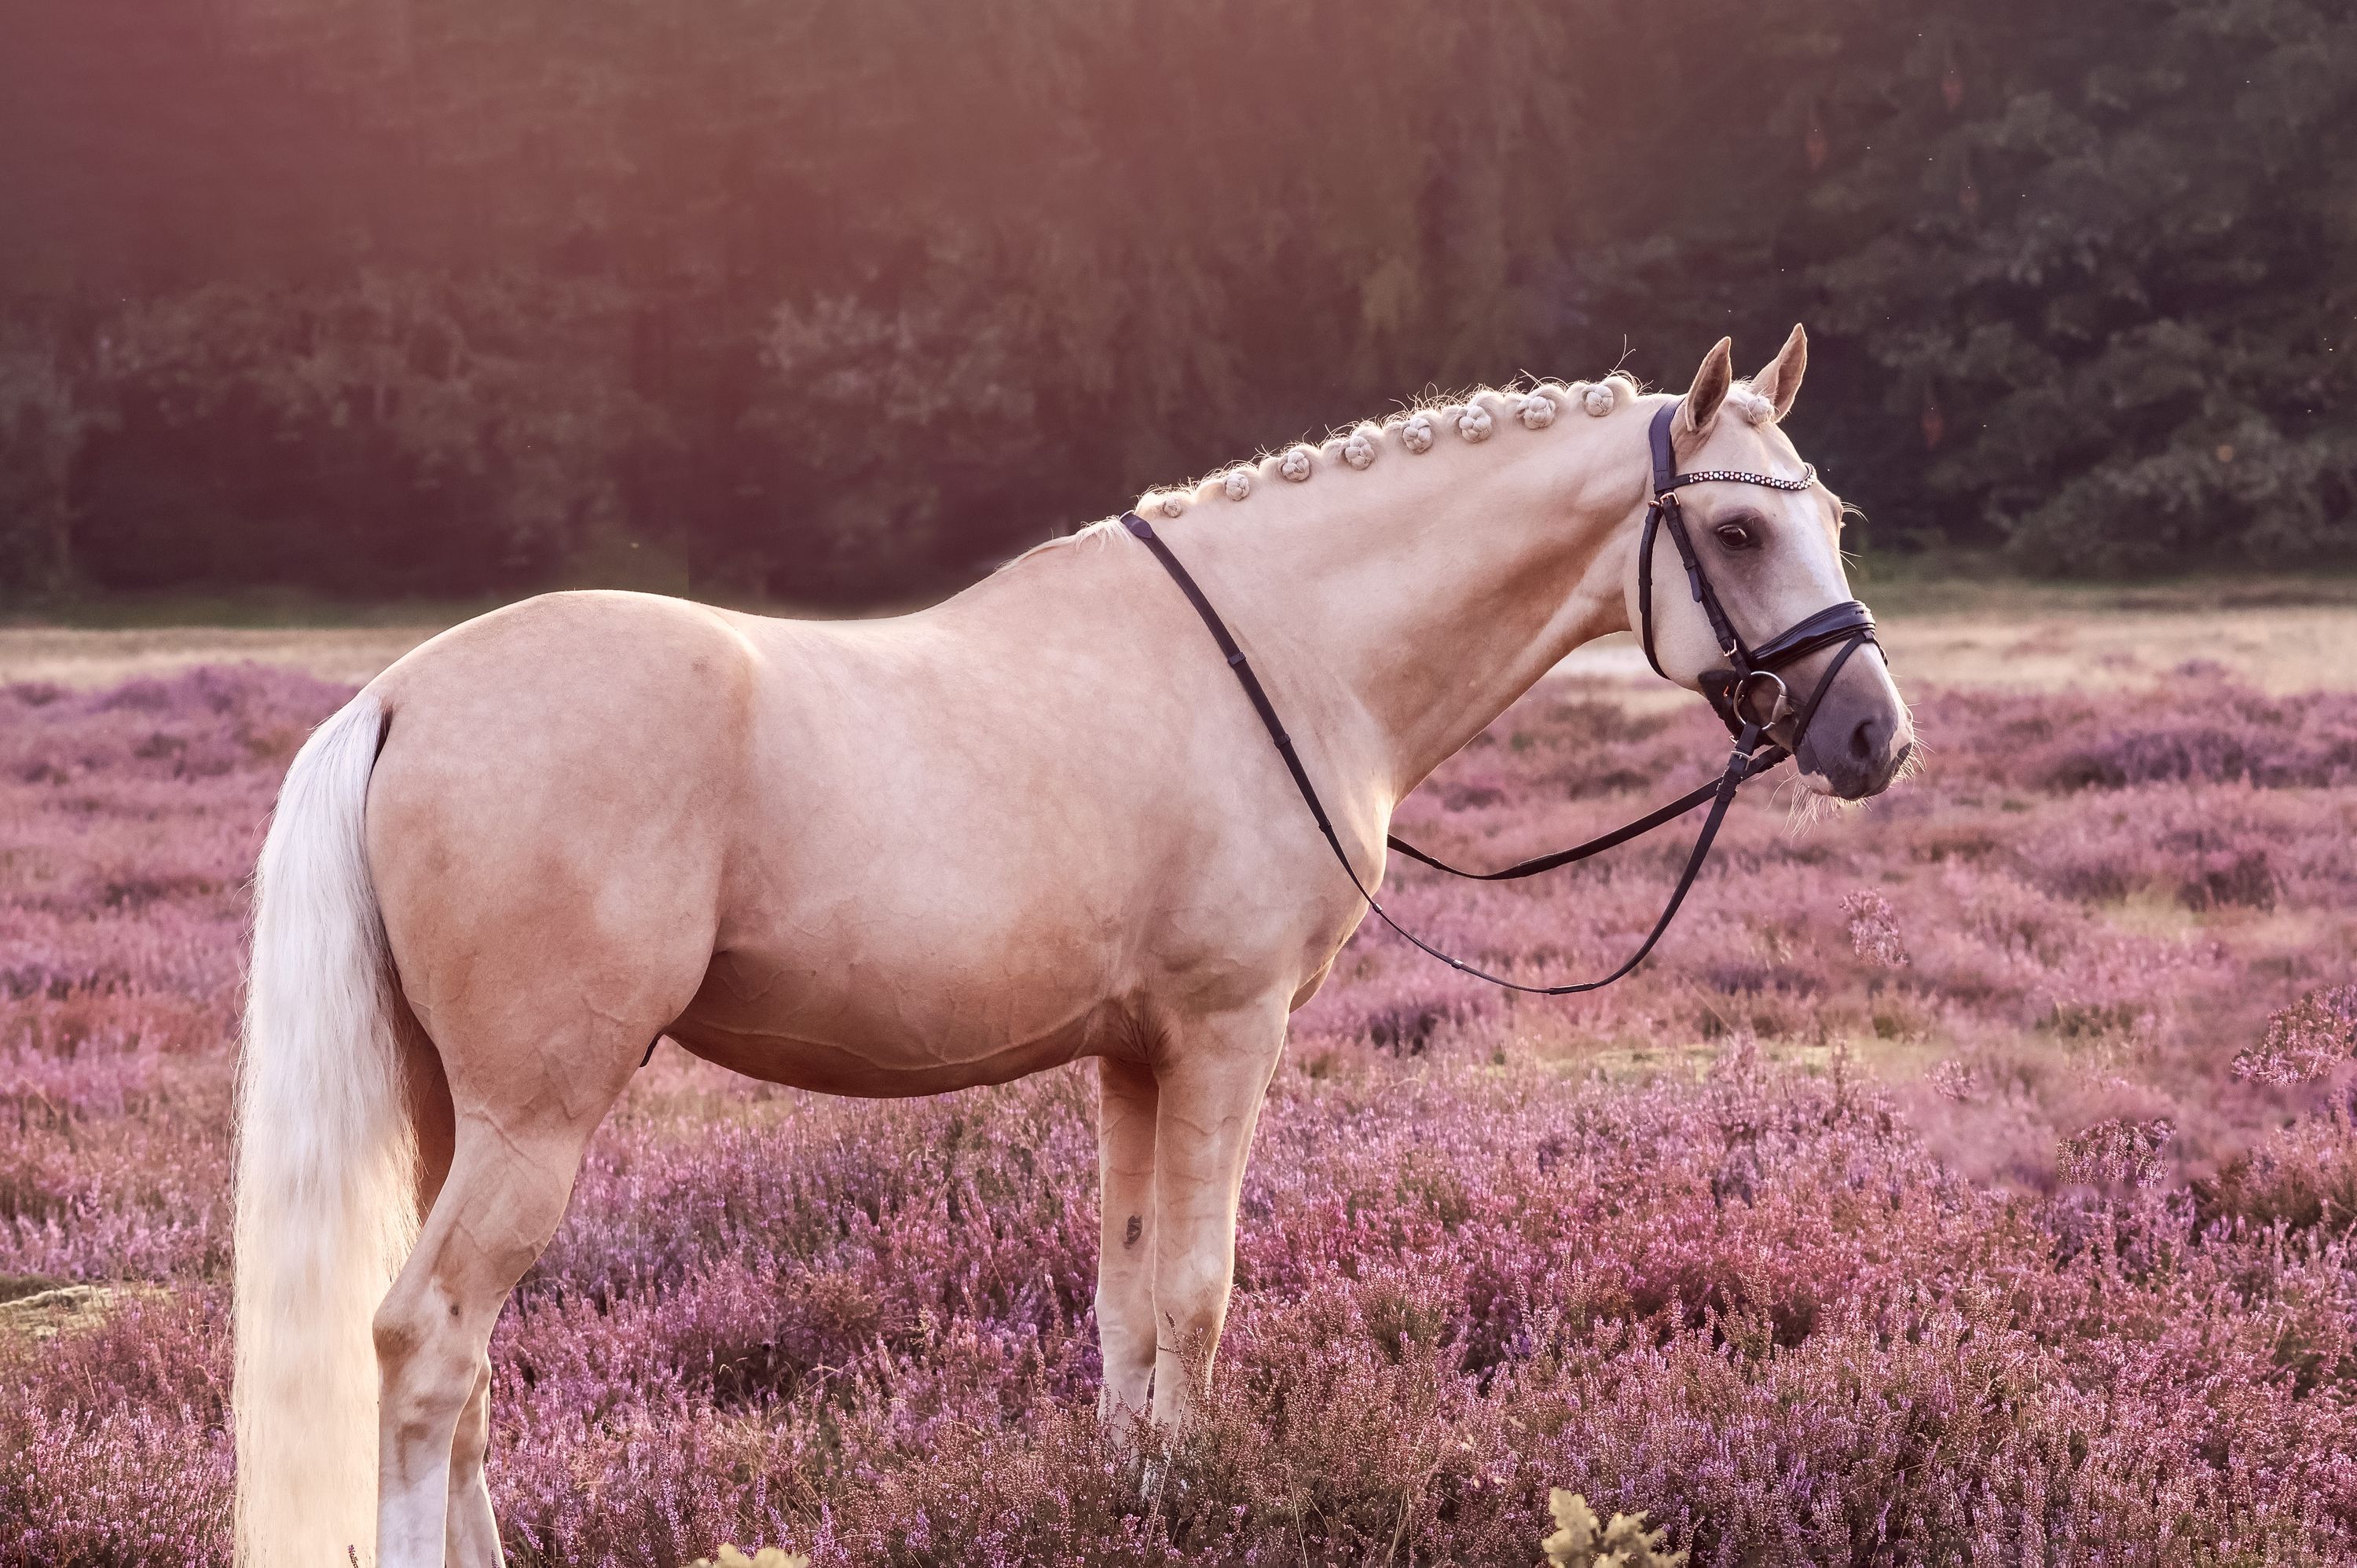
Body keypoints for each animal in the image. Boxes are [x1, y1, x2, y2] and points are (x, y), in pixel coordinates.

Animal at [232, 328, 1912, 1566]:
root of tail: (400, 697)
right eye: (1739, 525)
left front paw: (1131, 1498)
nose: (1874, 735)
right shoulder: (1231, 1035)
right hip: (536, 1120)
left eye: (1830, 516)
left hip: (454, 1116)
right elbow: (1199, 1288)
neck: (1282, 653)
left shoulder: (1133, 1059)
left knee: (463, 1374)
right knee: (426, 1345)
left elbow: (1122, 1297)